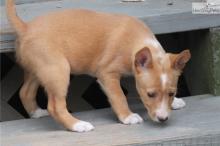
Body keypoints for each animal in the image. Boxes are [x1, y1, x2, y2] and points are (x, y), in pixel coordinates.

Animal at [6, 0, 190, 132]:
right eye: (150, 94)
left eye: (172, 93)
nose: (163, 119)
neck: (136, 41)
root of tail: (26, 27)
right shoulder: (107, 74)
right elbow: (119, 96)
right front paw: (128, 117)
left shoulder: (134, 71)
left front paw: (175, 103)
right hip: (58, 70)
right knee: (55, 106)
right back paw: (78, 125)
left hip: (39, 70)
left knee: (25, 92)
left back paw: (36, 112)